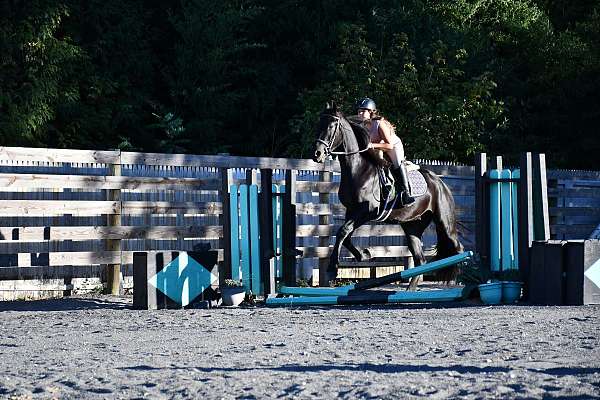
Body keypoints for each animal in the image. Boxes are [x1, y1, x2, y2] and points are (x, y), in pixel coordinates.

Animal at [314, 101, 464, 290]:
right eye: (319, 124)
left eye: (332, 126)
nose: (317, 154)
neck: (358, 170)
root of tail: (441, 183)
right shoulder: (352, 211)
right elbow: (346, 236)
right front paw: (364, 255)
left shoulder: (367, 212)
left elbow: (343, 232)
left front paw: (332, 269)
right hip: (413, 226)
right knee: (420, 259)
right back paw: (410, 289)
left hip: (444, 221)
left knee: (458, 247)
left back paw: (456, 280)